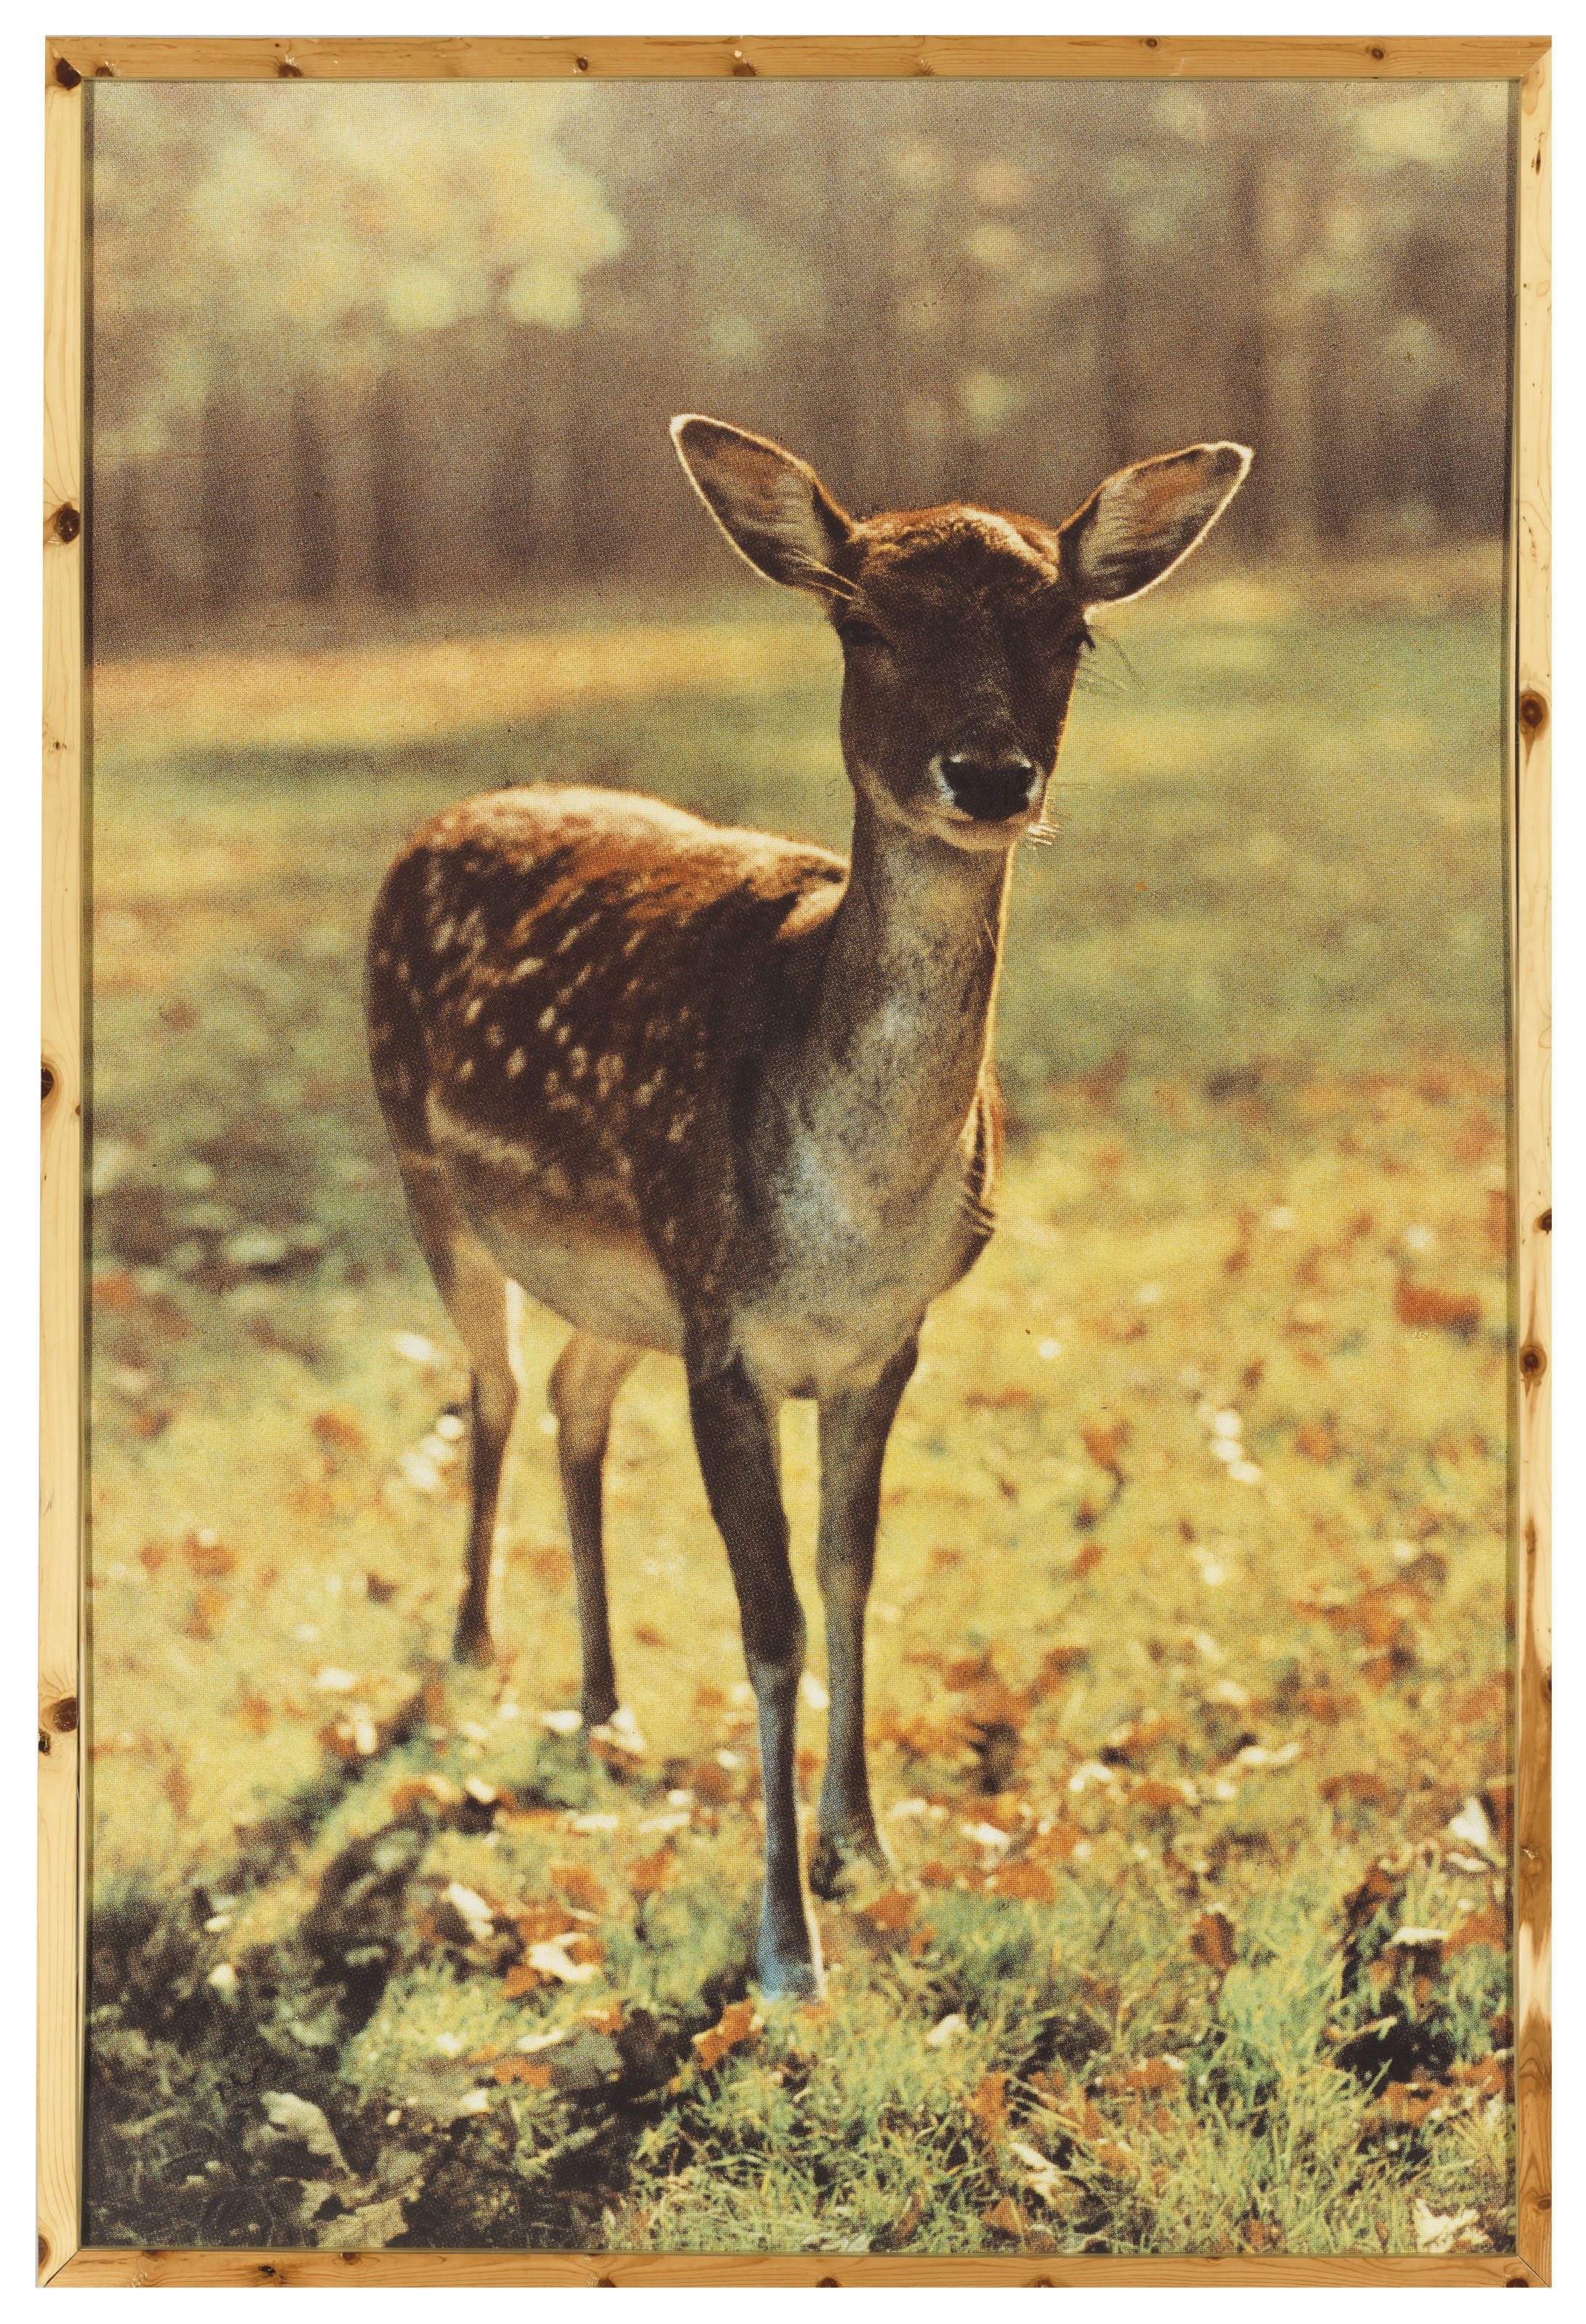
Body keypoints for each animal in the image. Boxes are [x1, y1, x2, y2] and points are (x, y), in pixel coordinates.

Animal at [366, 414, 1251, 1998]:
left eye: (1069, 630)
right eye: (864, 621)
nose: (990, 772)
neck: (856, 1218)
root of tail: (439, 822)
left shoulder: (874, 1342)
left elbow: (849, 1575)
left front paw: (866, 1847)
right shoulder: (726, 1335)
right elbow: (768, 1621)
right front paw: (787, 1944)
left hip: (624, 1280)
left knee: (576, 1401)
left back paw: (604, 1703)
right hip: (428, 1168)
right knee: (494, 1390)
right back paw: (473, 1649)